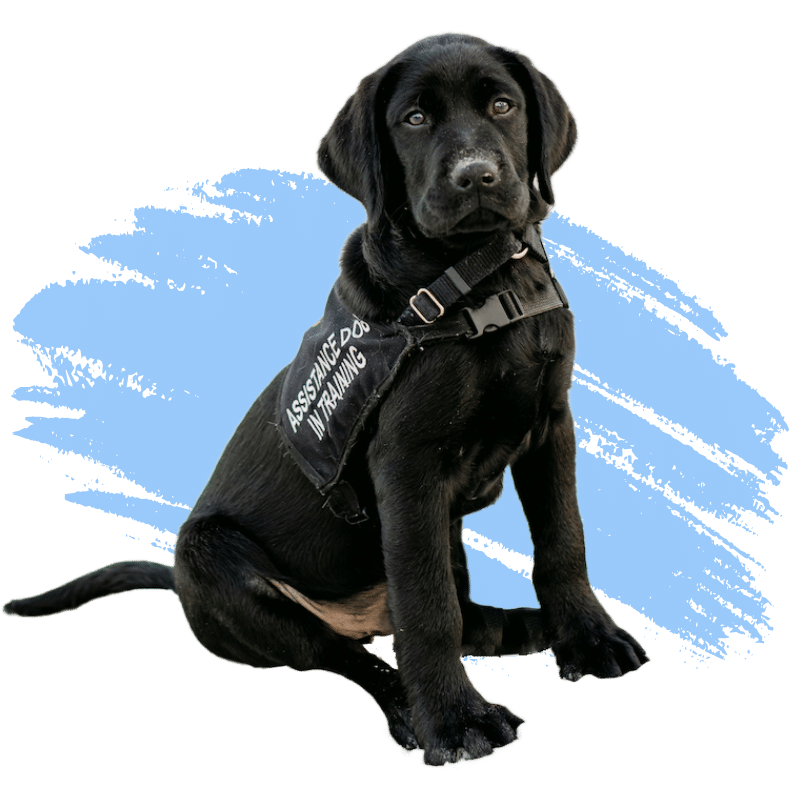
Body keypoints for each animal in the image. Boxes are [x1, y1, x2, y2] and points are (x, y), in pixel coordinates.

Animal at [3, 32, 648, 768]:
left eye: (503, 106)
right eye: (414, 119)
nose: (477, 177)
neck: (476, 282)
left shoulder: (550, 423)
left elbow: (563, 541)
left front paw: (589, 638)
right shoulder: (407, 464)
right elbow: (427, 606)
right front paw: (455, 719)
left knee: (447, 618)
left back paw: (521, 627)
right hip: (215, 560)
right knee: (347, 649)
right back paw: (409, 705)